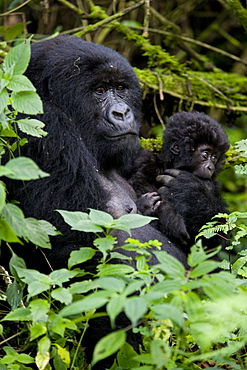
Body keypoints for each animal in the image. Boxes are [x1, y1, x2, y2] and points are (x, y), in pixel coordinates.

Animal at [131, 111, 230, 253]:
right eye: (205, 154)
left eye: (214, 157)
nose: (211, 167)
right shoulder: (146, 161)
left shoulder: (213, 184)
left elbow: (217, 235)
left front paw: (188, 190)